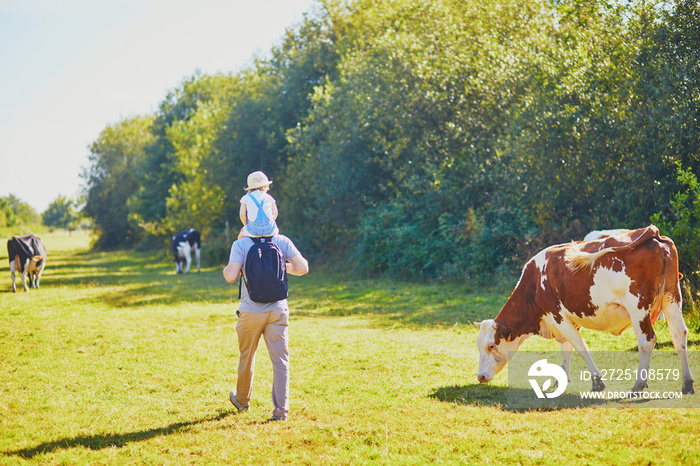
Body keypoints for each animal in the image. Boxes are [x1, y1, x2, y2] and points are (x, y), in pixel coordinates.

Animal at [476, 228, 696, 396]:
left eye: (491, 345)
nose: (480, 376)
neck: (535, 283)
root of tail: (653, 234)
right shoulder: (569, 318)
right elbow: (567, 348)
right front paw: (560, 381)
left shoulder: (558, 315)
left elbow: (580, 346)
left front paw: (597, 382)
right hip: (671, 298)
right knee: (679, 334)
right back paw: (687, 383)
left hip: (638, 308)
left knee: (647, 340)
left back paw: (638, 386)